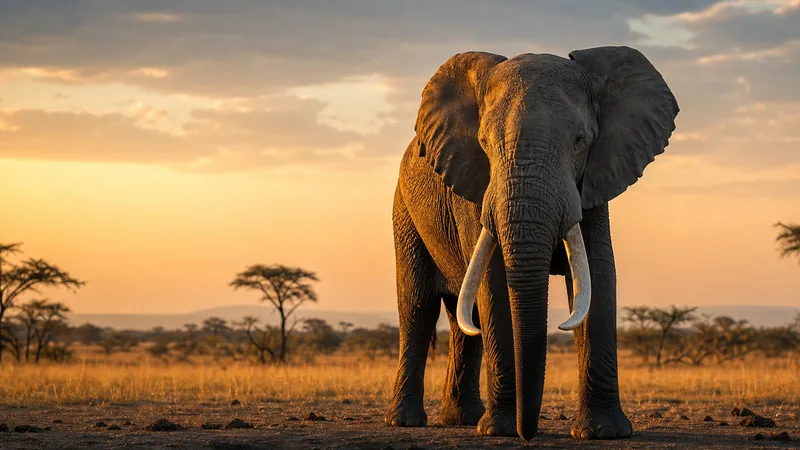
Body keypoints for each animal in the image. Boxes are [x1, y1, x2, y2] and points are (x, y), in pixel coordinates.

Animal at [384, 46, 679, 441]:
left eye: (580, 141)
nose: (530, 432)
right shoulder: (476, 186)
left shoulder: (594, 179)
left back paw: (462, 419)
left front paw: (603, 432)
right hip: (404, 212)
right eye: (484, 143)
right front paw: (501, 430)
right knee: (418, 306)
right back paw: (405, 421)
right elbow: (494, 283)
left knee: (465, 320)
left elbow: (598, 274)